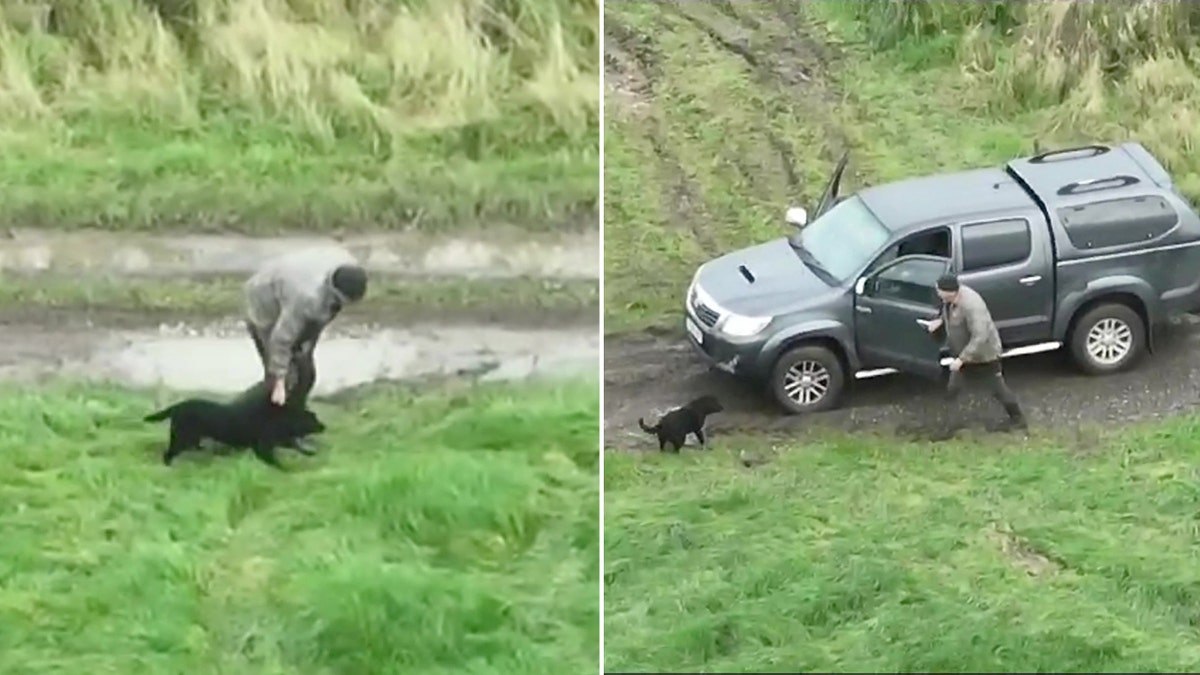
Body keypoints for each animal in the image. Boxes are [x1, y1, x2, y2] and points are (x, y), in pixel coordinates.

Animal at [142, 379, 326, 468]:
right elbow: (276, 462)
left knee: (190, 447)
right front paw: (286, 470)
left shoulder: (278, 440)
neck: (279, 418)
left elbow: (296, 446)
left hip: (190, 437)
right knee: (168, 454)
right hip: (182, 437)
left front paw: (309, 454)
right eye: (313, 418)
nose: (323, 426)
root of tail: (177, 406)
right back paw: (169, 467)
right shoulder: (263, 447)